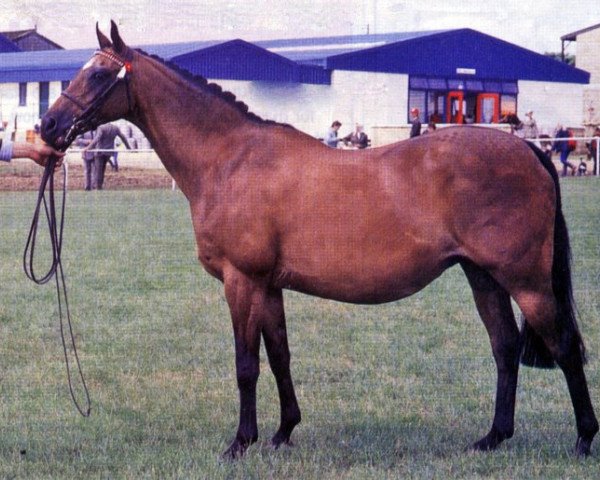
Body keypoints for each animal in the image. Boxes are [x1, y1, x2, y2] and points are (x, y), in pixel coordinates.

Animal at [39, 22, 596, 458]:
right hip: (483, 277)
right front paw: (283, 432)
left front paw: (240, 442)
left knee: (565, 346)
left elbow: (246, 365)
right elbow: (279, 356)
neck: (230, 158)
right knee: (505, 347)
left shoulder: (242, 282)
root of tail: (527, 150)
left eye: (98, 74)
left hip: (527, 282)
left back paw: (583, 439)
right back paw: (492, 437)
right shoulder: (269, 286)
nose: (48, 124)